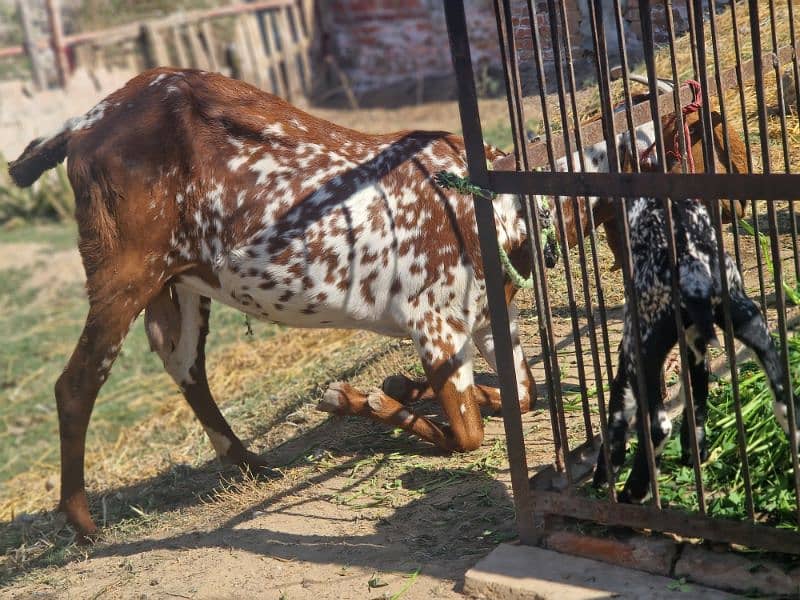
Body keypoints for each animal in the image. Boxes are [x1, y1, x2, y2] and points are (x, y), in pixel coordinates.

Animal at [9, 68, 536, 536]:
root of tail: (83, 124)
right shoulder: (433, 321)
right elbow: (468, 436)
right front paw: (361, 399)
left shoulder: (490, 318)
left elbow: (524, 394)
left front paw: (402, 388)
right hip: (124, 273)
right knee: (76, 384)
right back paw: (83, 525)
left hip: (183, 278)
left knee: (182, 361)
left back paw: (249, 464)